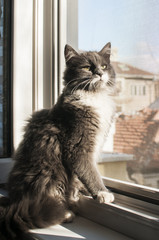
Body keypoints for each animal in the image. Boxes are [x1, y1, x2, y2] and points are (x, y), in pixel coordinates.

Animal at [0, 42, 115, 239]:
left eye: (104, 66)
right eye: (87, 67)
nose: (99, 73)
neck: (94, 97)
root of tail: (13, 200)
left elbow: (88, 171)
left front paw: (86, 189)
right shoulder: (78, 145)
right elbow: (89, 171)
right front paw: (102, 193)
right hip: (48, 175)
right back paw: (66, 213)